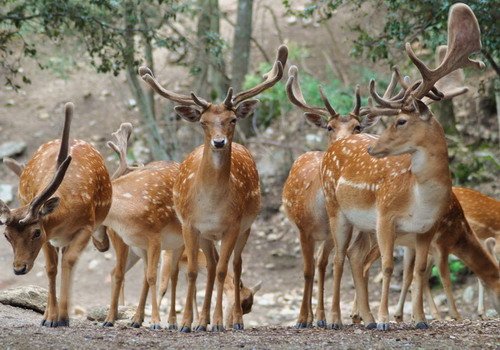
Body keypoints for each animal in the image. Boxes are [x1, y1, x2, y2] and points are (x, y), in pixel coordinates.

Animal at [0, 102, 111, 326]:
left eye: (35, 232)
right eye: (6, 235)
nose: (18, 268)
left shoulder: (86, 226)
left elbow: (69, 261)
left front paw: (63, 317)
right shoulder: (49, 235)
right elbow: (51, 268)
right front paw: (49, 318)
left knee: (69, 260)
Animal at [139, 45, 290, 332]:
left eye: (232, 119)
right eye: (203, 121)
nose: (219, 142)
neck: (212, 204)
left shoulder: (233, 225)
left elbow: (223, 271)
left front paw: (220, 322)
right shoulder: (190, 224)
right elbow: (193, 271)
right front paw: (187, 322)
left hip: (246, 226)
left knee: (234, 265)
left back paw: (231, 321)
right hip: (206, 236)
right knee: (208, 266)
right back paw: (201, 320)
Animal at [320, 2, 488, 330]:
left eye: (401, 120)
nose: (372, 147)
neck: (420, 199)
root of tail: (334, 146)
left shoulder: (426, 230)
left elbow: (420, 270)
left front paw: (420, 319)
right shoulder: (385, 217)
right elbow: (388, 267)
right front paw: (386, 320)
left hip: (363, 224)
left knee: (355, 257)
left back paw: (365, 318)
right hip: (336, 208)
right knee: (338, 257)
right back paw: (335, 319)